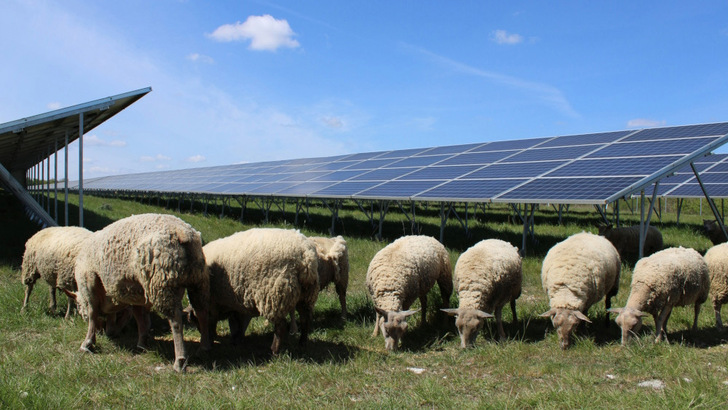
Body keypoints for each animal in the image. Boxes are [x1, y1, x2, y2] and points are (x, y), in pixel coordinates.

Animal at [73, 213, 211, 372]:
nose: (106, 333)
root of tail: (184, 233)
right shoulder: (135, 294)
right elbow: (140, 317)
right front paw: (141, 343)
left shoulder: (89, 281)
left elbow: (92, 314)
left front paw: (88, 343)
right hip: (198, 281)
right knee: (202, 313)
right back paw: (204, 348)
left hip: (162, 283)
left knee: (176, 321)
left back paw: (180, 361)